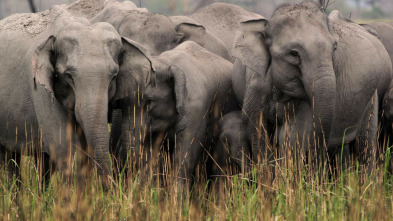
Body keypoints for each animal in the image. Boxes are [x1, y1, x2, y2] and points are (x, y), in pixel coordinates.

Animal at [108, 40, 234, 188]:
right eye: (119, 104)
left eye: (149, 101)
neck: (166, 62)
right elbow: (150, 150)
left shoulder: (196, 110)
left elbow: (186, 153)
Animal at [231, 0, 390, 169]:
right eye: (293, 54)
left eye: (334, 48)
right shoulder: (255, 86)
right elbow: (256, 129)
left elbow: (293, 134)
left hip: (371, 97)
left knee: (364, 144)